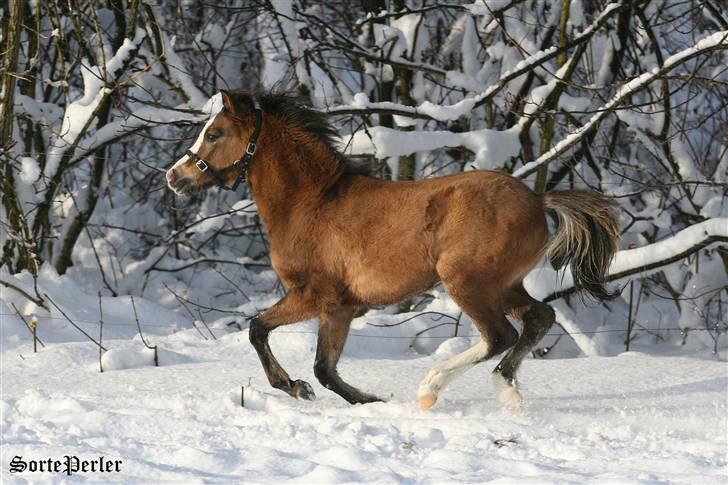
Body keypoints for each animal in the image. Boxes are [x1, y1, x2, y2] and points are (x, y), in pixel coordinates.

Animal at [166, 91, 620, 408]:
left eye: (213, 134)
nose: (174, 177)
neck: (309, 202)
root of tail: (539, 200)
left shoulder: (314, 295)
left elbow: (258, 329)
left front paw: (297, 389)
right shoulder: (340, 307)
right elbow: (324, 368)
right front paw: (362, 399)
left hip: (468, 282)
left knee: (499, 334)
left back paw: (430, 389)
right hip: (505, 286)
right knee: (539, 318)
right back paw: (506, 392)